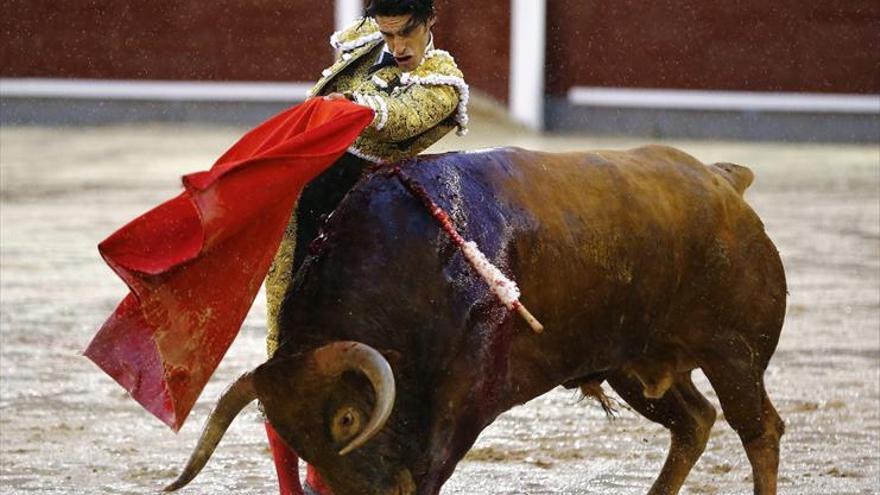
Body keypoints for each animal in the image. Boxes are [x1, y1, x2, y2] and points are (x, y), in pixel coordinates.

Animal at [162, 145, 788, 494]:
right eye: (295, 440)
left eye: (346, 420)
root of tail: (723, 181)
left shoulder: (464, 398)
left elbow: (430, 469)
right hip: (632, 365)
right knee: (695, 421)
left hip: (734, 352)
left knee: (759, 430)